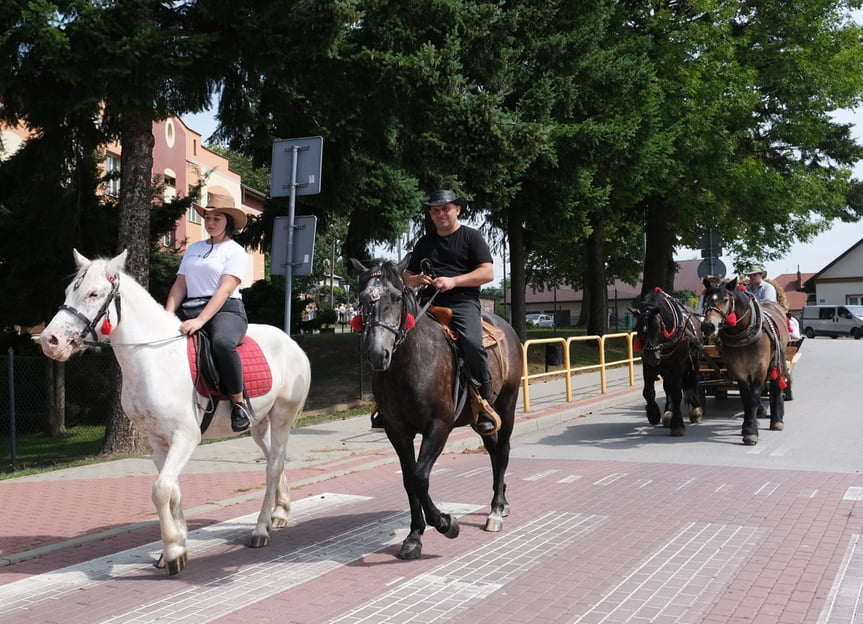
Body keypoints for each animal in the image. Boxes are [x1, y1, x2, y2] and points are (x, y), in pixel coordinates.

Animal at [40, 250, 312, 576]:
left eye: (93, 294)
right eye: (69, 291)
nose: (49, 340)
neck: (153, 359)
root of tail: (292, 343)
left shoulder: (185, 437)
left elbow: (160, 489)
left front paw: (172, 552)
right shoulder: (157, 441)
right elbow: (173, 490)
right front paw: (178, 544)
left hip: (283, 416)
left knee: (272, 468)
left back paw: (260, 530)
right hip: (259, 425)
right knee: (276, 459)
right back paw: (280, 512)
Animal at [350, 258, 520, 560]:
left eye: (396, 297)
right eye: (362, 299)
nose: (377, 354)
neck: (410, 363)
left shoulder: (439, 426)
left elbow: (420, 477)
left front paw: (445, 523)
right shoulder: (396, 430)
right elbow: (409, 480)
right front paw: (414, 536)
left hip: (508, 405)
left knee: (502, 452)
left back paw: (496, 509)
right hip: (481, 419)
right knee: (492, 449)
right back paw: (501, 500)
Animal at [632, 290, 704, 436]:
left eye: (658, 327)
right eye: (639, 329)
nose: (652, 356)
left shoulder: (677, 366)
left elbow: (676, 393)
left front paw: (677, 424)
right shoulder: (648, 366)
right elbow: (648, 392)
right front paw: (653, 414)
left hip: (694, 362)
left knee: (693, 380)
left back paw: (695, 410)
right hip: (665, 370)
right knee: (667, 387)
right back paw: (668, 412)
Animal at [704, 276, 788, 446]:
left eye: (725, 299)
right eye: (706, 300)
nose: (708, 326)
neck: (742, 333)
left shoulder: (760, 369)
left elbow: (754, 397)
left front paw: (751, 432)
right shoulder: (739, 370)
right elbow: (746, 398)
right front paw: (747, 426)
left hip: (778, 359)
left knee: (776, 385)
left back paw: (777, 419)